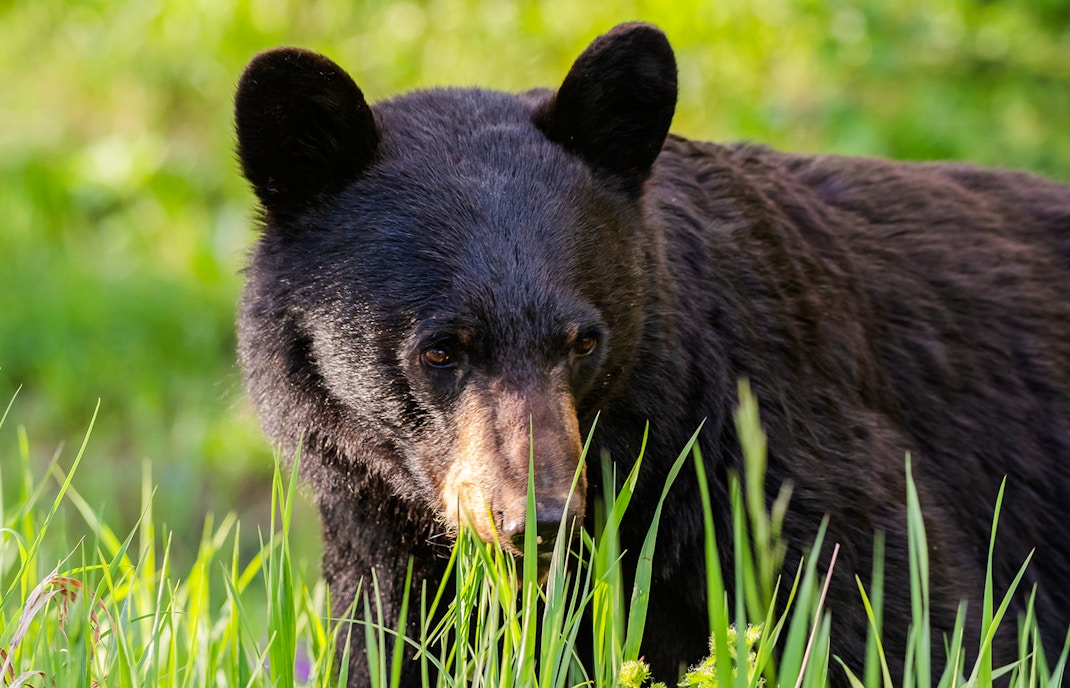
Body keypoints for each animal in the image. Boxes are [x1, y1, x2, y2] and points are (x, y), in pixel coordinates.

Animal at [233, 22, 1070, 686]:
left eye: (583, 340)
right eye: (441, 350)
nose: (539, 520)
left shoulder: (776, 456)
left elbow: (907, 620)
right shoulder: (381, 530)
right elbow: (396, 644)